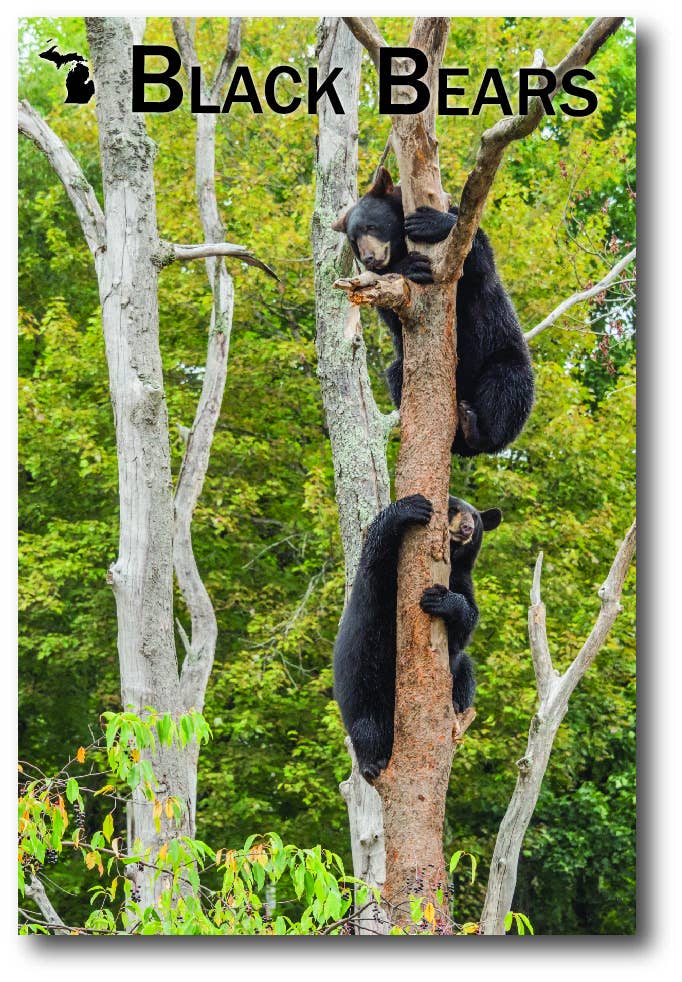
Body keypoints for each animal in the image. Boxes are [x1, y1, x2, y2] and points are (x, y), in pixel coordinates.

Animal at [332, 167, 535, 457]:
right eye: (353, 240)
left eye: (371, 226)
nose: (370, 257)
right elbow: (390, 308)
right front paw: (411, 266)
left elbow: (477, 258)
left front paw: (431, 222)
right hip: (402, 366)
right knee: (396, 375)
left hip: (500, 350)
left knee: (507, 386)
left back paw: (477, 429)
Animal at [333, 492, 502, 783]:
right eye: (452, 509)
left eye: (475, 518)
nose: (466, 528)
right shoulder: (379, 584)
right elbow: (376, 561)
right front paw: (410, 507)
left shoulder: (462, 580)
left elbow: (466, 623)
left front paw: (443, 600)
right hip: (361, 686)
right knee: (368, 726)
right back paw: (373, 763)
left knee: (466, 672)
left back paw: (456, 703)